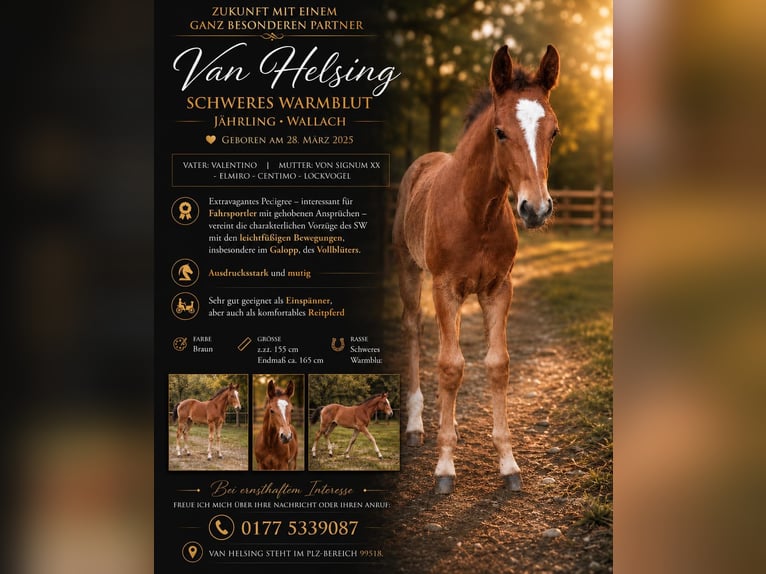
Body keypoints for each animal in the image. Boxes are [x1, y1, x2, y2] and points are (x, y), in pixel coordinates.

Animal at [392, 44, 560, 494]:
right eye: (500, 132)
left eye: (553, 132)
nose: (535, 209)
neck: (476, 212)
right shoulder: (444, 287)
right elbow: (450, 367)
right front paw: (444, 468)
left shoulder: (498, 288)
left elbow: (496, 364)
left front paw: (509, 463)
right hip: (409, 271)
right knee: (413, 330)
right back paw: (416, 427)